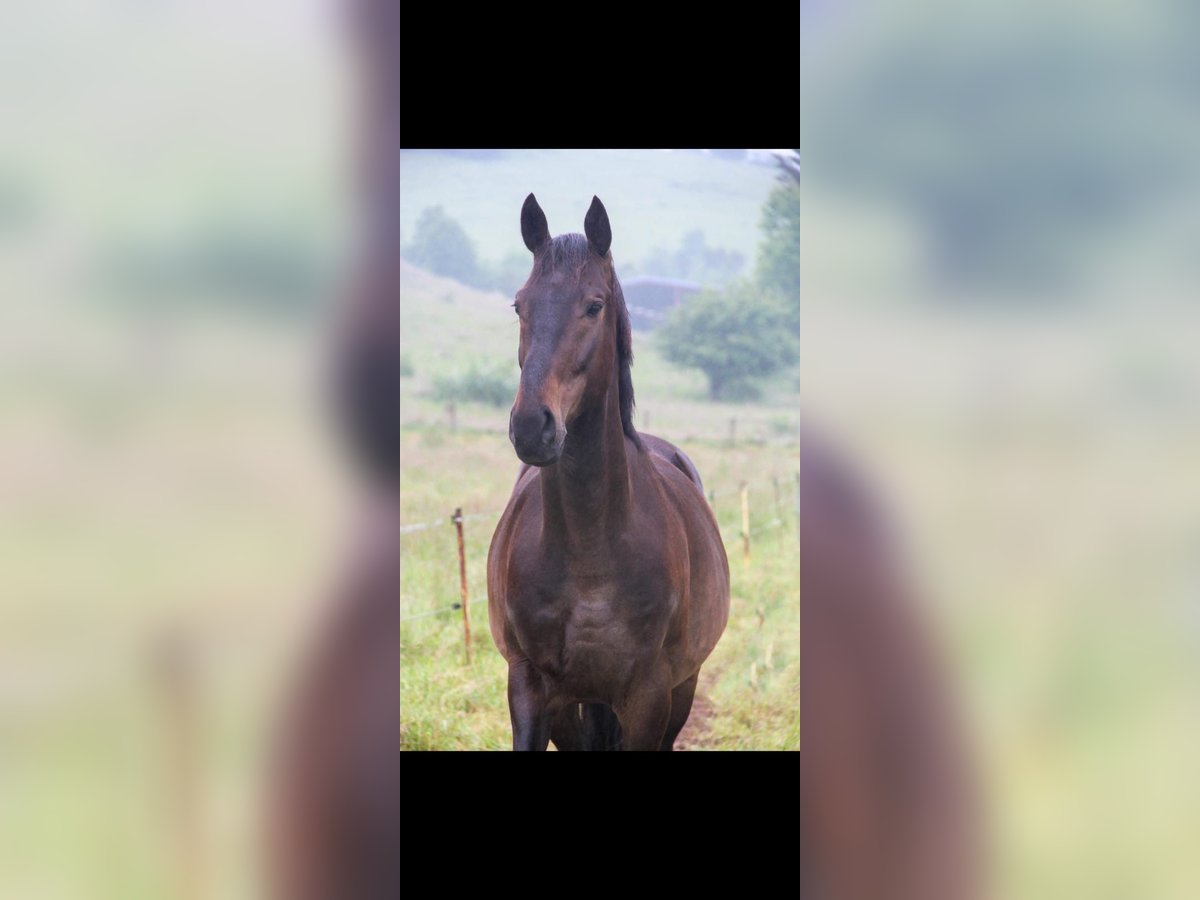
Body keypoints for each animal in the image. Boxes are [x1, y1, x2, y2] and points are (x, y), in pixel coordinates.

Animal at [486, 194, 730, 751]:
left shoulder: (649, 698)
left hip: (682, 690)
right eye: (519, 305)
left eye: (594, 306)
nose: (531, 426)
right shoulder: (530, 689)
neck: (590, 552)